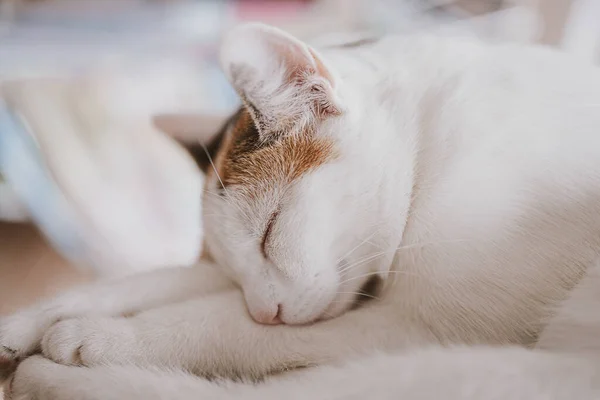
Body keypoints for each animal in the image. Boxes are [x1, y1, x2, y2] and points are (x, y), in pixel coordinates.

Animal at [4, 22, 600, 400]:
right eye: (234, 267)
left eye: (269, 233)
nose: (265, 310)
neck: (430, 139)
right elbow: (159, 281)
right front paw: (34, 318)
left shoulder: (423, 326)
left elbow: (221, 324)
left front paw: (103, 336)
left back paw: (49, 381)